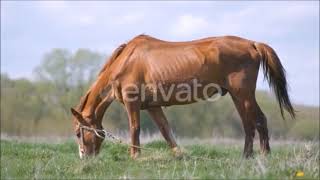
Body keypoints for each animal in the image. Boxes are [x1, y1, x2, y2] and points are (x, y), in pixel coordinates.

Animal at [70, 34, 296, 158]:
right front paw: (179, 154)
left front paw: (135, 155)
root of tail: (252, 44)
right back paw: (246, 157)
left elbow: (135, 128)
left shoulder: (131, 102)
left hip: (244, 94)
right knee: (248, 125)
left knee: (259, 121)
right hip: (237, 96)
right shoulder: (152, 106)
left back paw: (264, 156)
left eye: (79, 133)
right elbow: (165, 130)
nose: (84, 157)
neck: (126, 60)